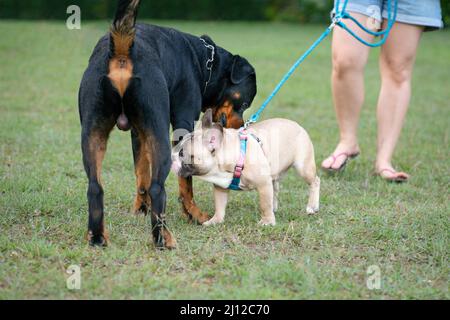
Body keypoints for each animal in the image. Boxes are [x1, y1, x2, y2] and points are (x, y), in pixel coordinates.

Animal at [77, 0, 256, 249]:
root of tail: (123, 49)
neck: (205, 63)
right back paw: (162, 238)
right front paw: (193, 214)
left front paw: (140, 209)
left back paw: (96, 236)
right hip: (160, 137)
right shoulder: (183, 124)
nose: (239, 127)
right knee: (157, 188)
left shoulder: (138, 133)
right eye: (246, 102)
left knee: (95, 187)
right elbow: (185, 182)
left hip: (93, 133)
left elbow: (141, 173)